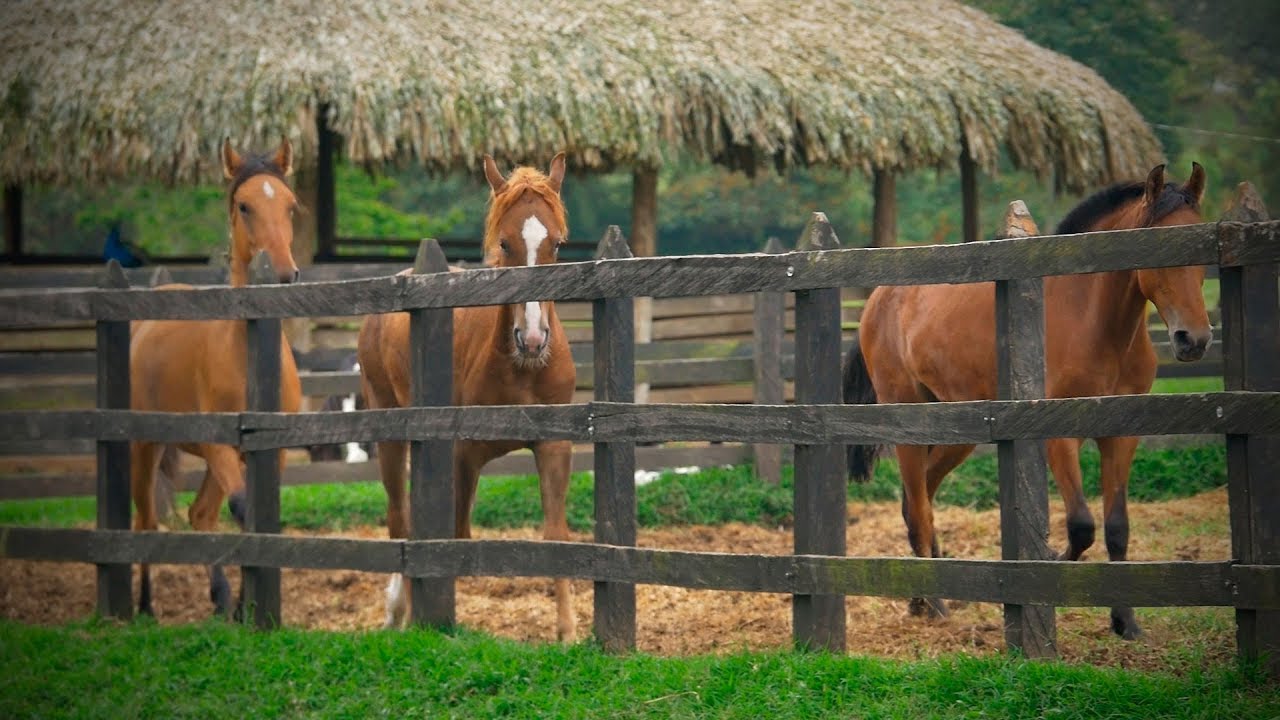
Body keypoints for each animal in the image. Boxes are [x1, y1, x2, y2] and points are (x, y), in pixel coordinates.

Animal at [129, 138, 303, 617]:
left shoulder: (273, 451)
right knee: (145, 519)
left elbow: (259, 513)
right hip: (145, 445)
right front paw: (250, 605)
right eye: (244, 206)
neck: (249, 353)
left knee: (200, 514)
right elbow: (244, 508)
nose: (285, 273)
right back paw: (145, 606)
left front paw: (247, 605)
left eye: (291, 206)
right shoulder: (220, 446)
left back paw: (221, 599)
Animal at [357, 153, 578, 641]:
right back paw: (398, 611)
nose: (532, 338)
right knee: (399, 516)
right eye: (505, 243)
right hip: (389, 433)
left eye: (557, 244)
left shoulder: (554, 446)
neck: (520, 370)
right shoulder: (461, 455)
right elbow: (455, 536)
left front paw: (568, 632)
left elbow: (556, 535)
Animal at [843, 162, 1210, 640]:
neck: (1093, 322)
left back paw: (924, 597)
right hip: (909, 421)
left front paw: (1125, 621)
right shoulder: (1058, 437)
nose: (1194, 340)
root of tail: (879, 298)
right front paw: (1048, 568)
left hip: (955, 434)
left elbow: (1116, 528)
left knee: (916, 500)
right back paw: (934, 604)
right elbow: (1080, 527)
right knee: (919, 507)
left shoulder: (1120, 435)